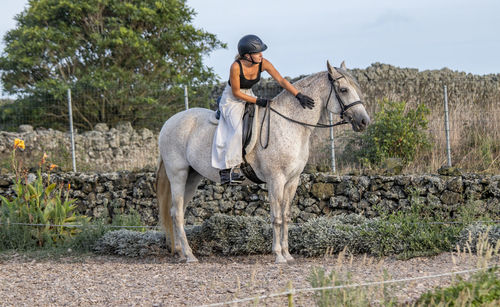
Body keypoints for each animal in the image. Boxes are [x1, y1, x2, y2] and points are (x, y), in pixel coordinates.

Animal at [156, 61, 372, 264]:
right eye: (343, 90)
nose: (364, 122)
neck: (290, 123)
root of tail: (169, 122)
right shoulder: (276, 179)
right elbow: (276, 217)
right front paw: (278, 255)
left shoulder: (292, 181)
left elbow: (286, 216)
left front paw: (288, 254)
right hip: (178, 175)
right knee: (177, 213)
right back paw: (189, 255)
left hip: (192, 178)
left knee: (176, 211)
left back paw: (181, 253)